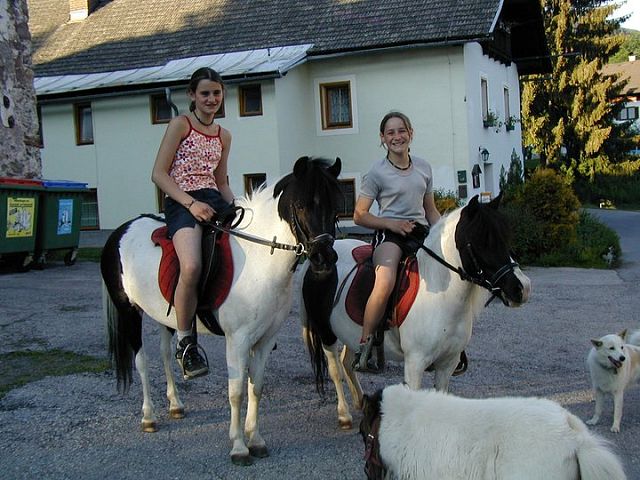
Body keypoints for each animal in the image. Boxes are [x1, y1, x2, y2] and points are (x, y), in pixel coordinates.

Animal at [101, 156, 340, 464]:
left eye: (336, 205)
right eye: (300, 205)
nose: (324, 259)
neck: (259, 260)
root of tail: (120, 232)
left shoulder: (265, 339)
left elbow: (256, 387)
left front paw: (256, 440)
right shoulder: (237, 339)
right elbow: (236, 391)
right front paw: (238, 446)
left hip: (165, 316)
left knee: (165, 355)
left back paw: (176, 404)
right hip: (129, 311)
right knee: (141, 362)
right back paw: (149, 417)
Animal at [300, 194, 528, 428]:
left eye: (505, 238)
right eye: (481, 240)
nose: (522, 288)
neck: (439, 293)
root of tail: (315, 260)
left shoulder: (447, 364)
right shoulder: (415, 363)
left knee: (347, 363)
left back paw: (360, 401)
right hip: (326, 332)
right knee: (335, 368)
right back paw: (344, 414)